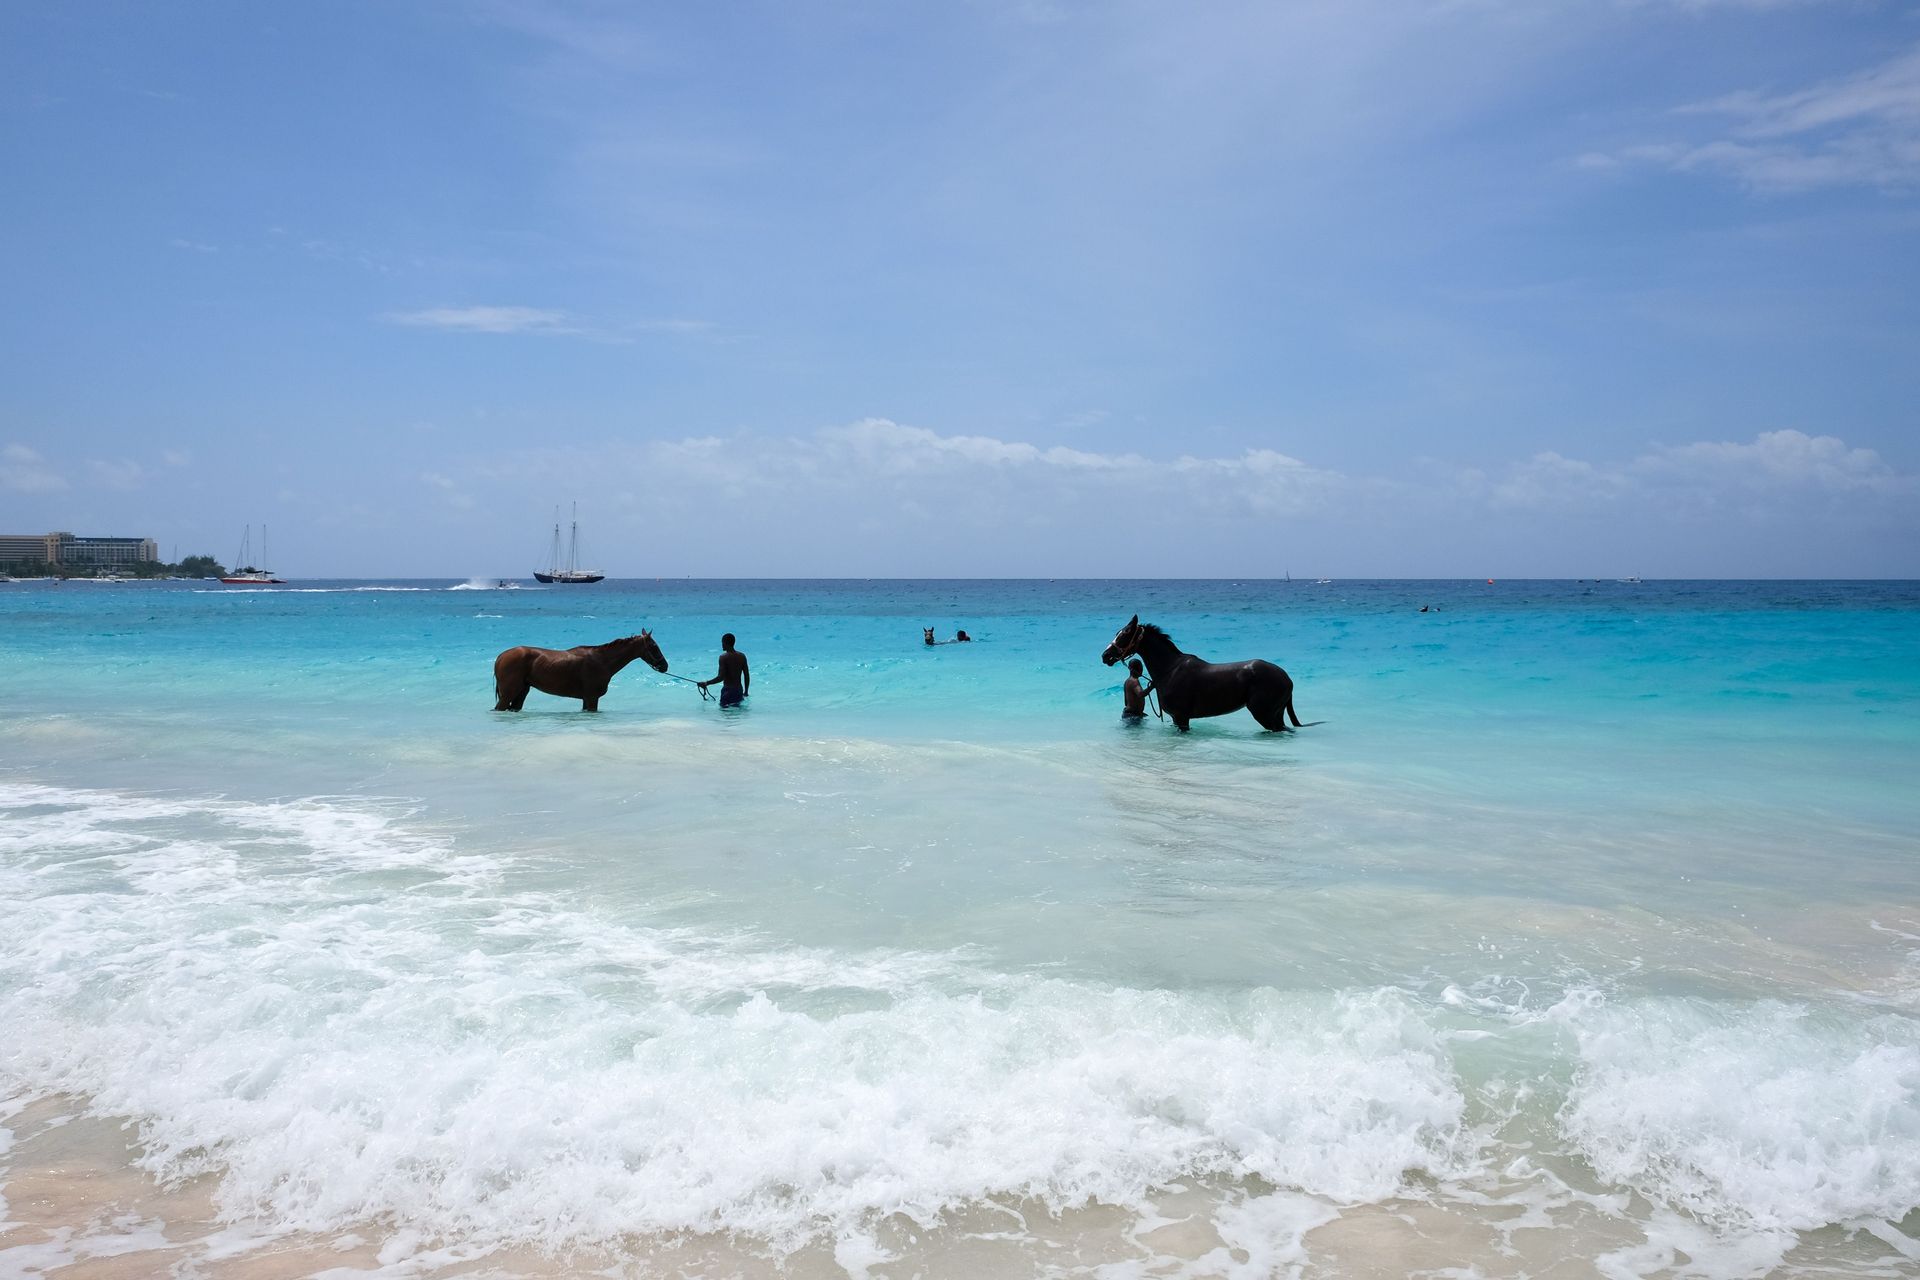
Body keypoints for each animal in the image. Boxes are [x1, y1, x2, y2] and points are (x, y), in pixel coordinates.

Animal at [492, 631, 668, 712]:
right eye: (653, 646)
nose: (665, 666)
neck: (601, 660)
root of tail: (501, 656)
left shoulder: (586, 699)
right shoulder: (591, 698)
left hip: (521, 692)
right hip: (509, 693)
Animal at [1100, 615, 1301, 733]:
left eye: (1124, 634)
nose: (1105, 655)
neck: (1169, 670)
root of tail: (1287, 678)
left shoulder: (1181, 717)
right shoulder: (1177, 718)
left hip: (1265, 715)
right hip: (1276, 714)